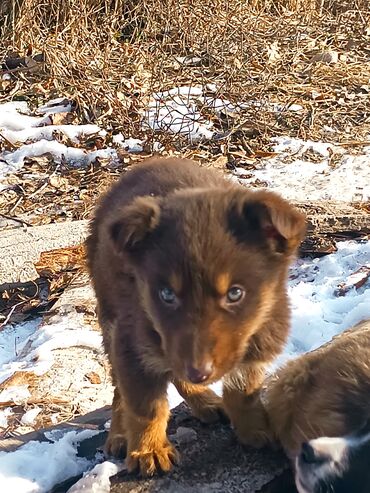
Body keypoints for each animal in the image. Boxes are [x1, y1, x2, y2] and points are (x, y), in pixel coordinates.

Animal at [86, 157, 306, 472]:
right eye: (167, 295)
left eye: (235, 293)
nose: (199, 373)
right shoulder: (132, 341)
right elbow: (145, 405)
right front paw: (148, 450)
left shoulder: (261, 333)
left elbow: (243, 386)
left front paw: (254, 429)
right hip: (109, 315)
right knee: (119, 387)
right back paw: (119, 434)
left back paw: (204, 400)